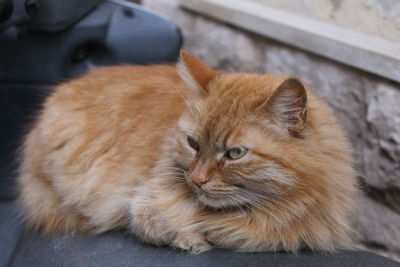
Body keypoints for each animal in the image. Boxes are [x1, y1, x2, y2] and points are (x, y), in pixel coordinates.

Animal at [18, 50, 356, 253]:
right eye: (193, 144)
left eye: (235, 154)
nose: (197, 179)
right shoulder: (144, 202)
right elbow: (162, 224)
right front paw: (194, 238)